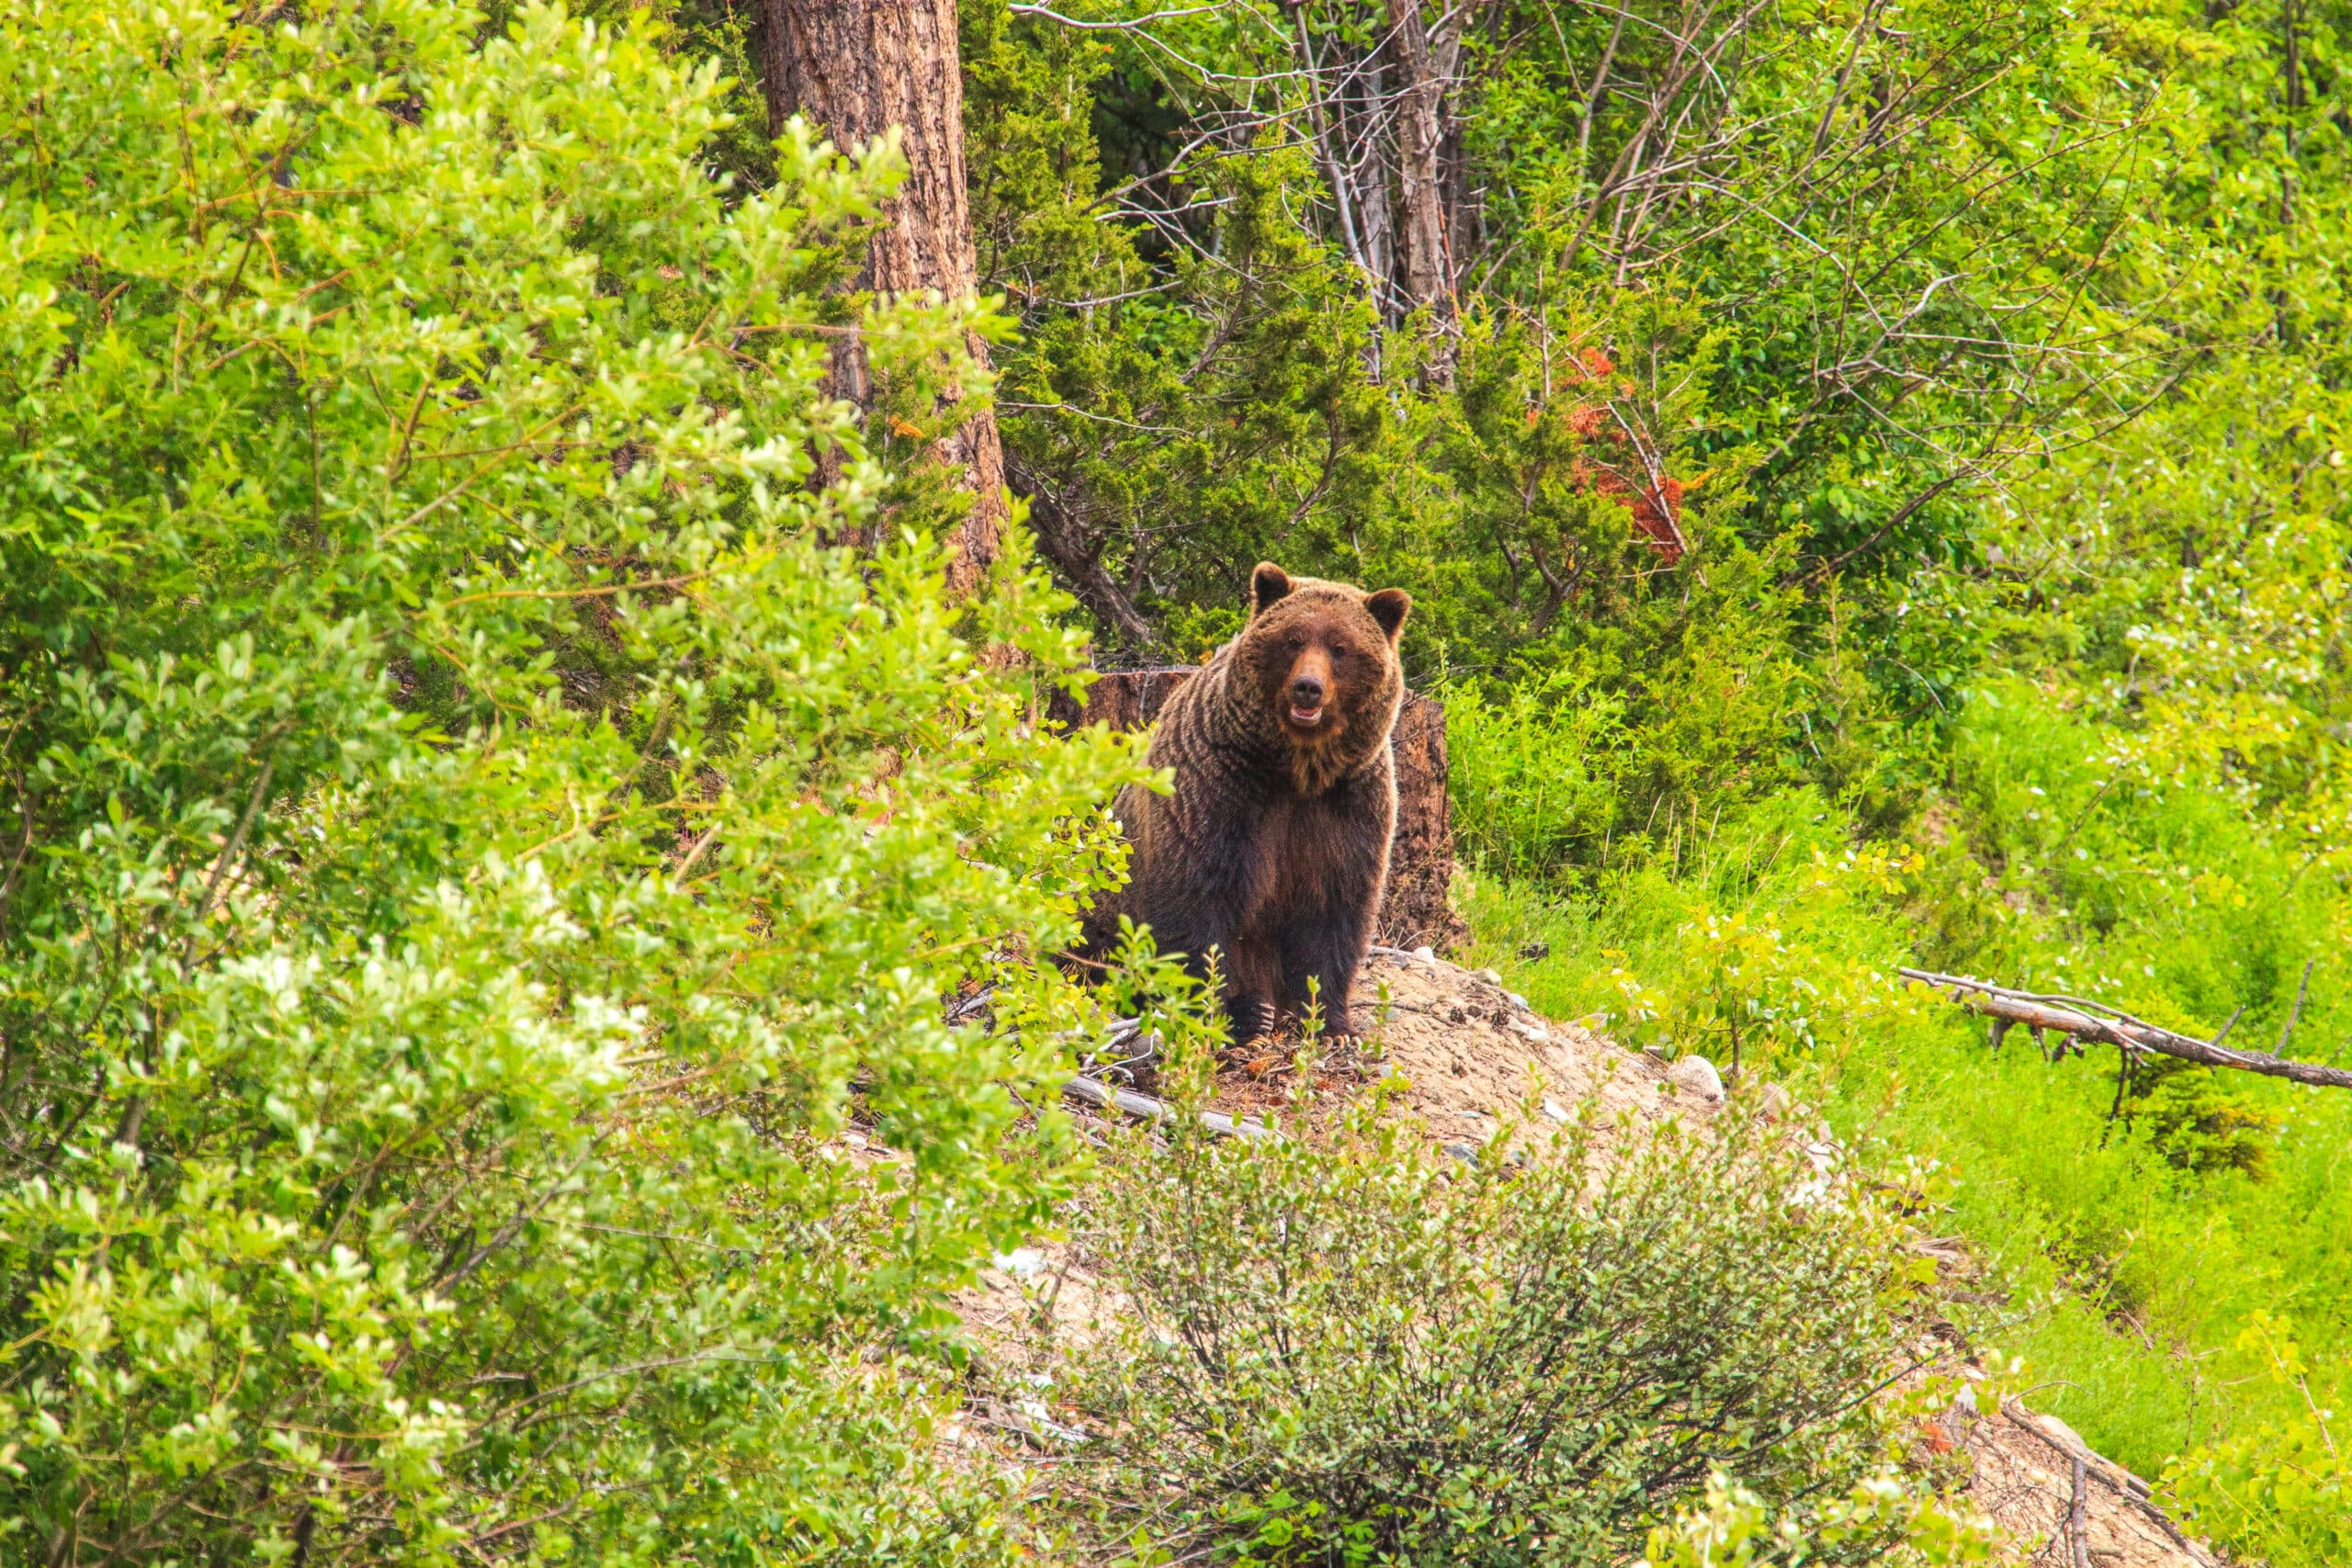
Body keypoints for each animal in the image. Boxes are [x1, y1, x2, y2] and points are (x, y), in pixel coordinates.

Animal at [1082, 562, 1412, 1041]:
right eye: (1293, 639)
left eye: (1341, 647)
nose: (1308, 688)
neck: (1298, 770)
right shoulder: (1219, 789)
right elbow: (1197, 902)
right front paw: (1227, 1011)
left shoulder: (1349, 806)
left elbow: (1335, 909)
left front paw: (1332, 1021)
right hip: (1102, 904)